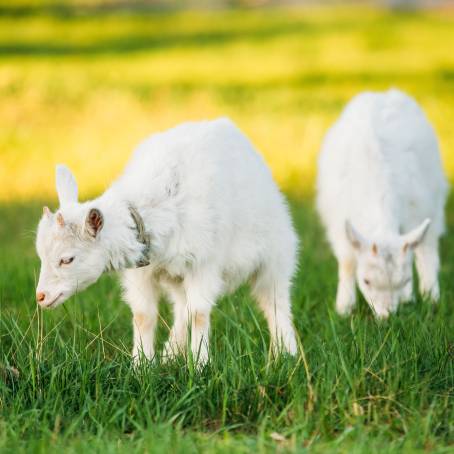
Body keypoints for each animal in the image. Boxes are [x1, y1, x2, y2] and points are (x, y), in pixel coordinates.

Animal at [34, 117, 298, 362]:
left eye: (67, 259)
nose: (40, 297)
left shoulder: (204, 263)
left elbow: (199, 313)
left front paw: (200, 365)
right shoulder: (142, 271)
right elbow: (144, 316)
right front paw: (142, 366)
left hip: (277, 251)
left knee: (274, 299)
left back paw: (285, 353)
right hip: (176, 275)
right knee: (182, 307)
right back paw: (171, 354)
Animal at [318, 88, 448, 316]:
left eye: (405, 279)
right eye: (366, 281)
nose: (387, 317)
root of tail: (383, 93)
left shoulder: (418, 207)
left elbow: (423, 250)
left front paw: (422, 297)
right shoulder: (338, 219)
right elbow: (347, 261)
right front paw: (344, 308)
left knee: (427, 246)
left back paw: (429, 296)